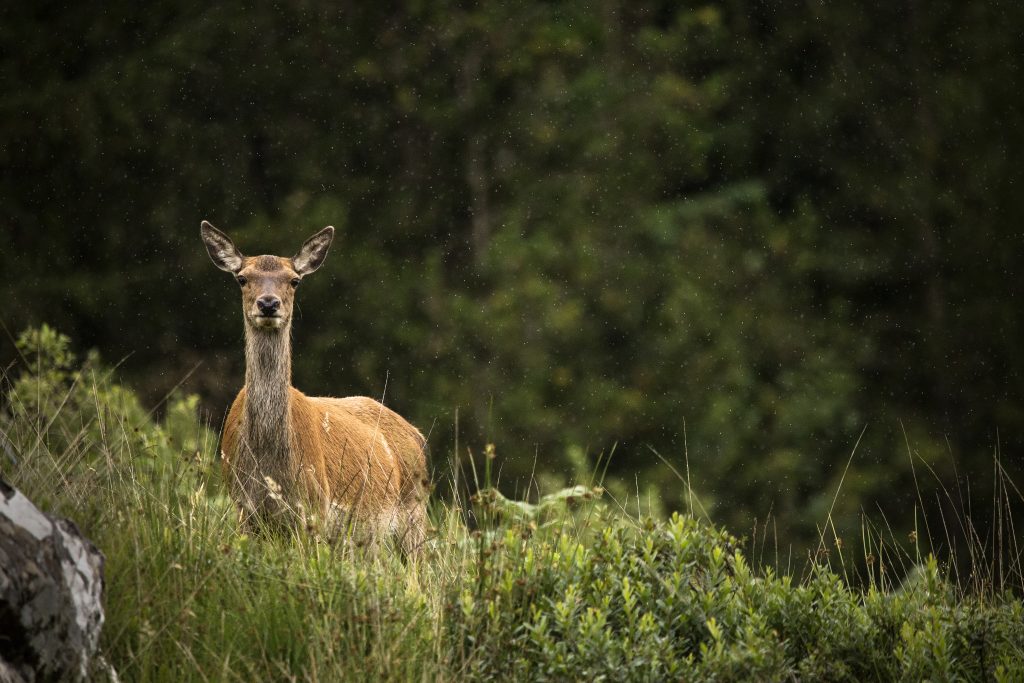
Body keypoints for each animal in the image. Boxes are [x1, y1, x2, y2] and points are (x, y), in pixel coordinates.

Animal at [200, 221, 428, 555]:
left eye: (294, 281)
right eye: (242, 278)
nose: (268, 304)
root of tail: (416, 434)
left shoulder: (314, 508)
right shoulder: (243, 508)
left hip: (414, 509)